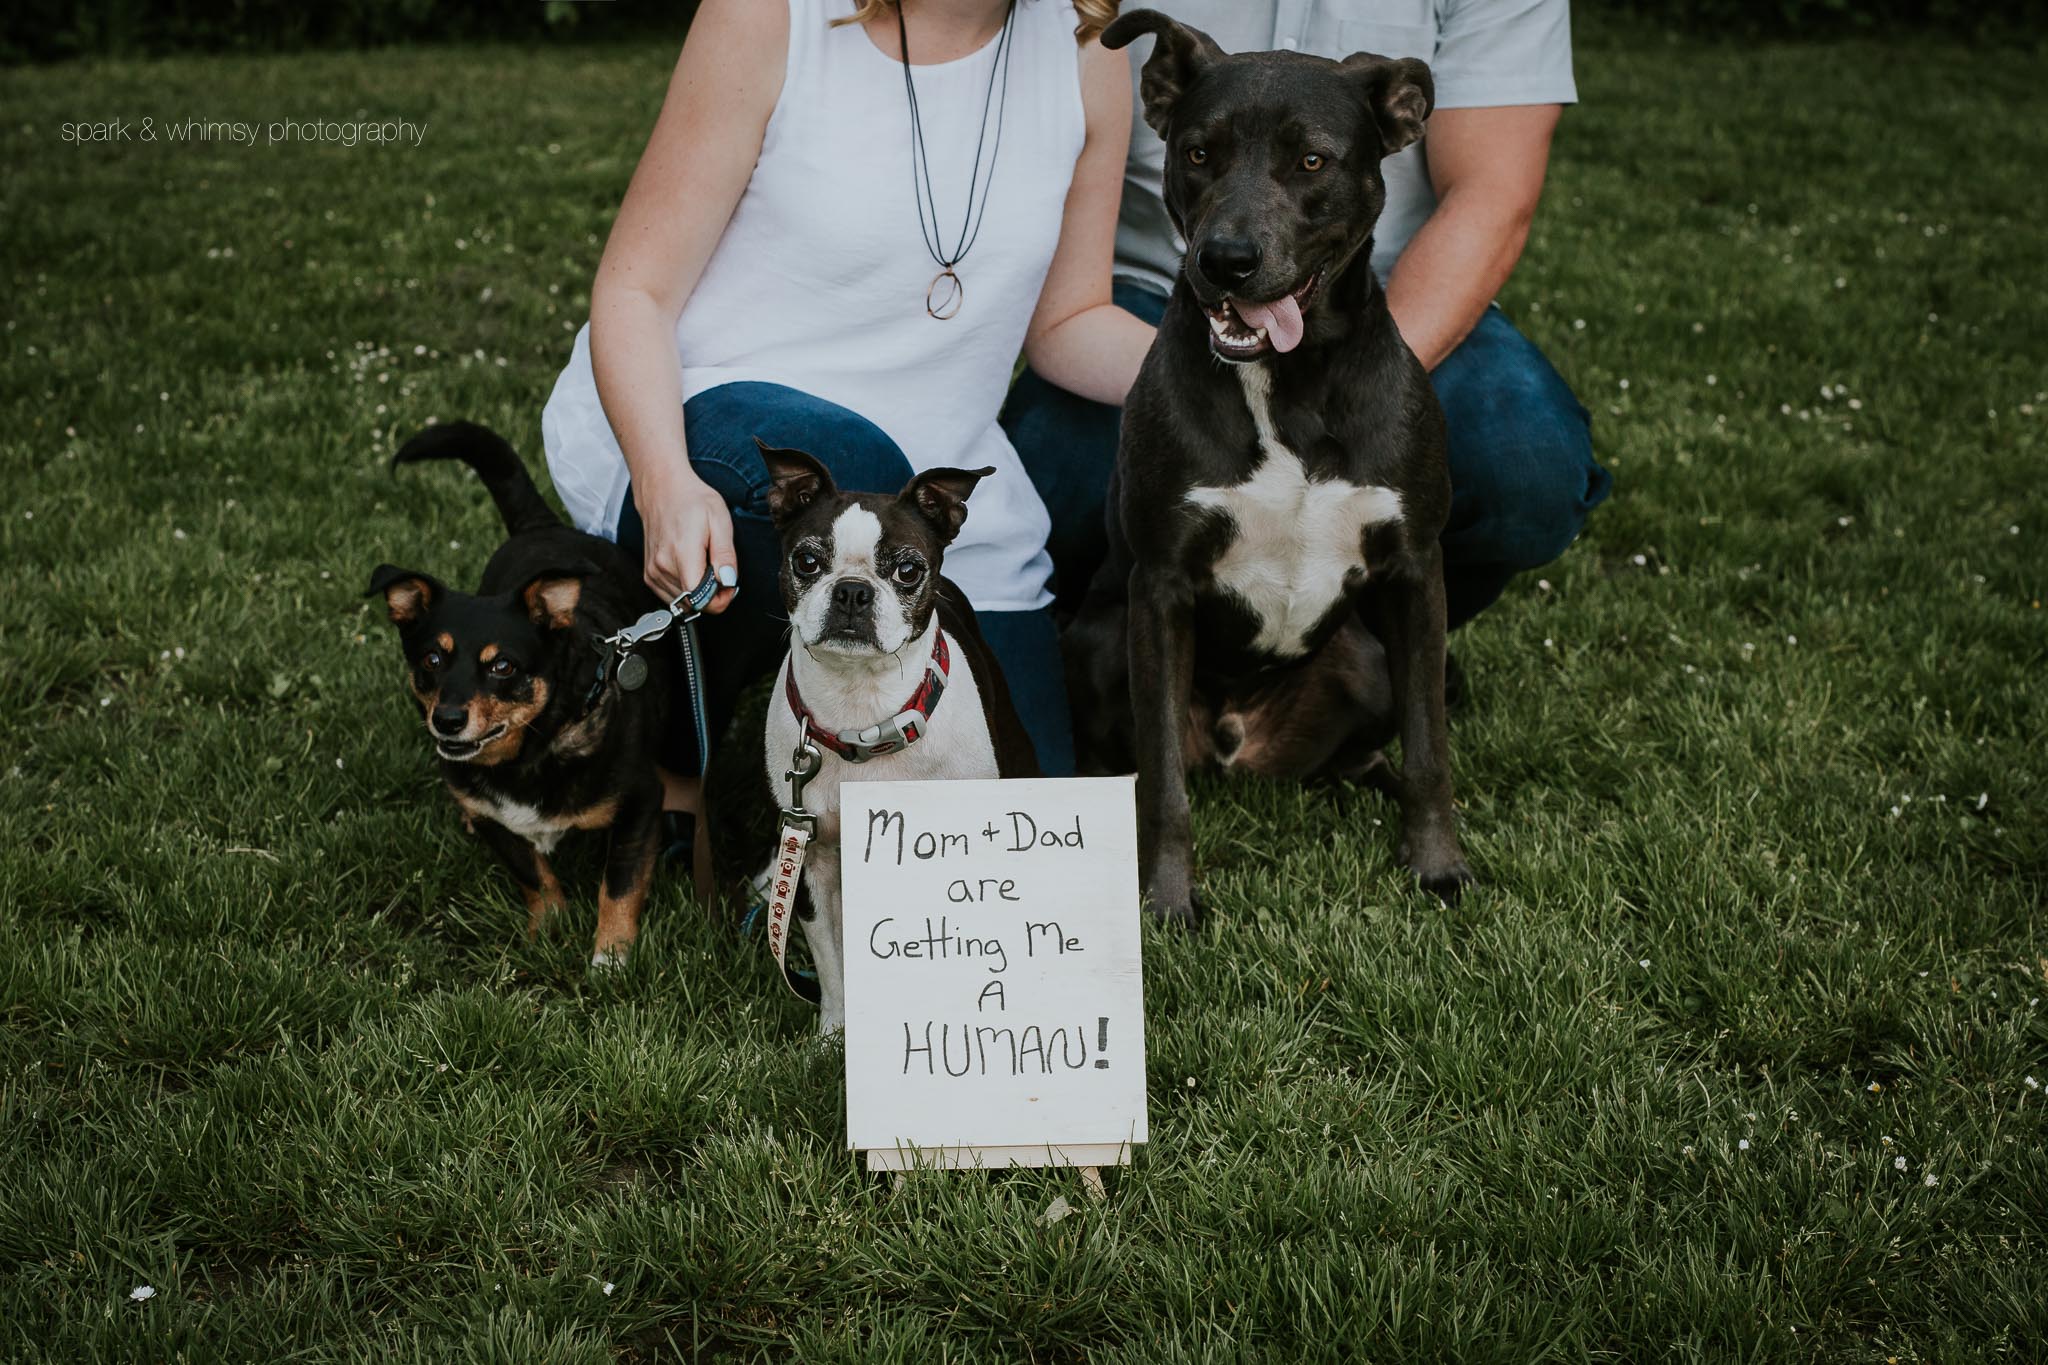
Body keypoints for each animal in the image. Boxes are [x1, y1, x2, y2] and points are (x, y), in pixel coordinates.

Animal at [372, 421, 675, 965]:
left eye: (503, 666)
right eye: (431, 661)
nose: (447, 720)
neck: (529, 752)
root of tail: (540, 526)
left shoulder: (642, 803)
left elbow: (619, 884)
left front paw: (611, 957)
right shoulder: (493, 819)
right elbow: (533, 873)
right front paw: (550, 926)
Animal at [1073, 10, 1474, 925]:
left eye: (1313, 160)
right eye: (1198, 153)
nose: (1226, 259)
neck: (1288, 387)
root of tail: (1239, 740)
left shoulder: (1416, 570)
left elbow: (1432, 748)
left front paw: (1436, 864)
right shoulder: (1159, 590)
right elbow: (1164, 787)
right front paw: (1167, 900)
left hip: (1373, 660)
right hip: (1101, 638)